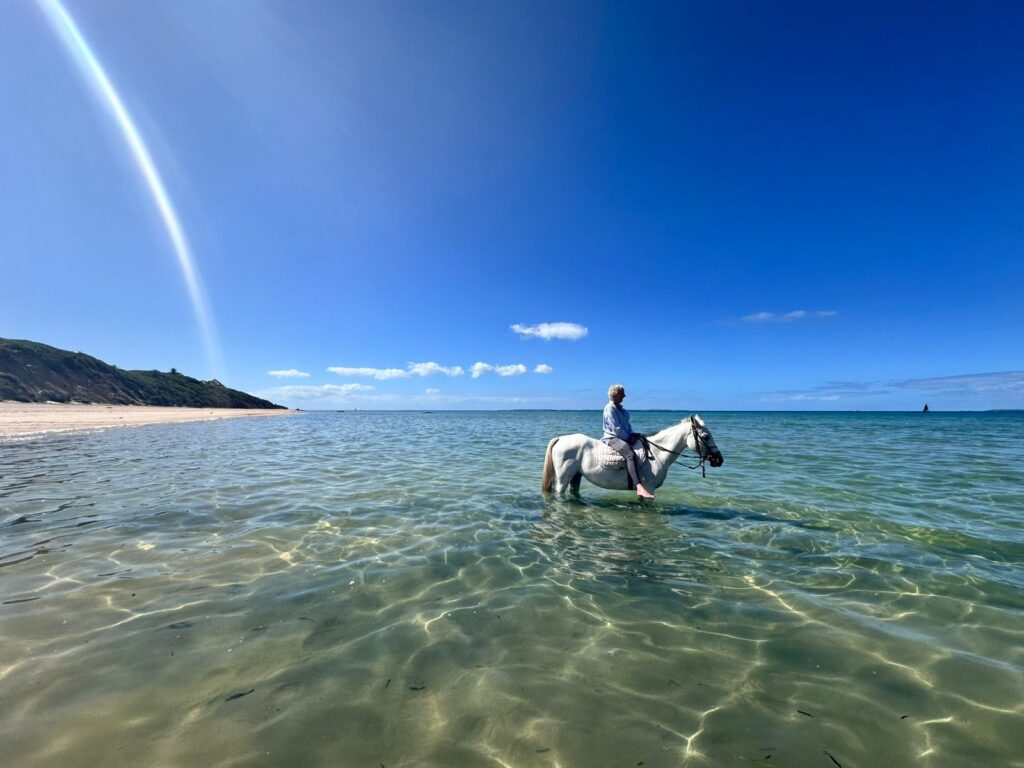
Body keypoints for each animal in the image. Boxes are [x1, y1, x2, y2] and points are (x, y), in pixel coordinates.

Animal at [541, 414, 724, 496]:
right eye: (705, 437)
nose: (719, 459)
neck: (657, 454)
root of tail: (560, 438)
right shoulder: (649, 488)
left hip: (576, 476)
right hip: (563, 479)